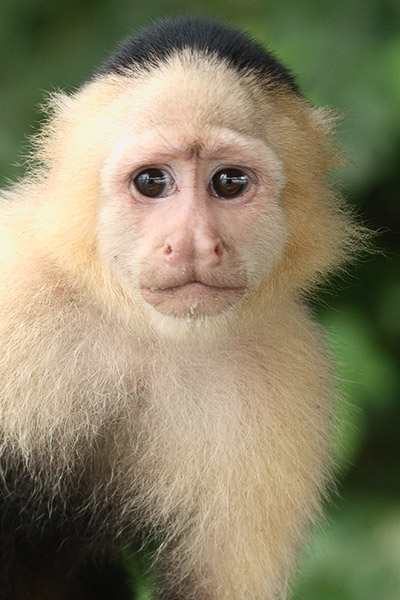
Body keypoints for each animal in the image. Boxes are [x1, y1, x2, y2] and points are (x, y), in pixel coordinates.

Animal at [0, 14, 360, 600]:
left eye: (229, 182)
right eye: (152, 181)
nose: (193, 243)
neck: (147, 335)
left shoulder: (290, 379)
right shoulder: (16, 288)